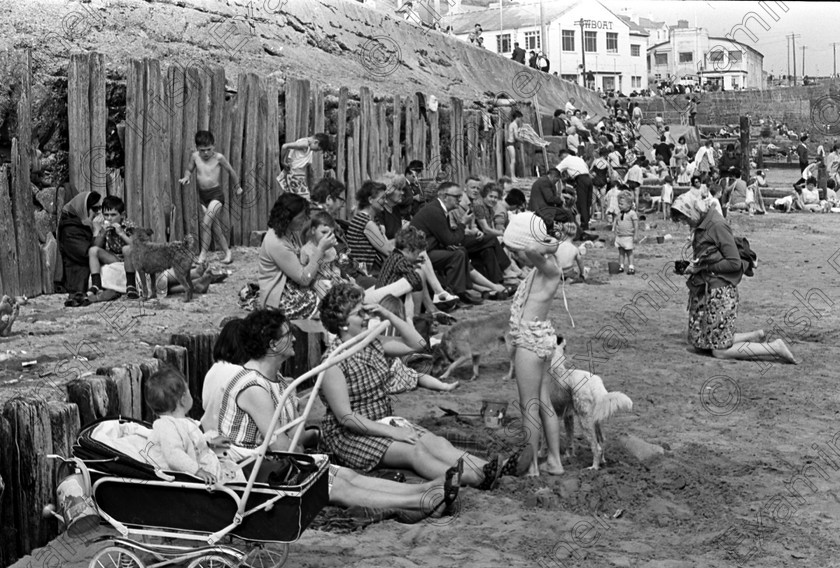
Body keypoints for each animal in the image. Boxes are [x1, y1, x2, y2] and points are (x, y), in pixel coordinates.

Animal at [548, 338, 632, 470]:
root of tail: (595, 382)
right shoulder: (568, 416)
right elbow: (569, 439)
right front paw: (568, 456)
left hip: (585, 422)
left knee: (596, 448)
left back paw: (593, 468)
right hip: (596, 421)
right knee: (602, 442)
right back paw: (602, 462)